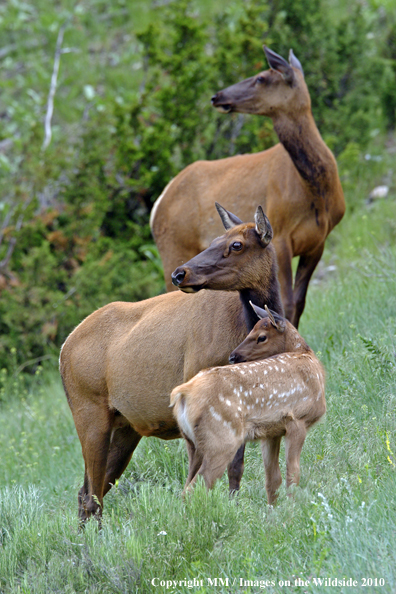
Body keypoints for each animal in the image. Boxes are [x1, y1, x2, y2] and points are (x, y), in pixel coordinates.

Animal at [58, 204, 284, 520]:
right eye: (215, 239)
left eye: (236, 244)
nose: (180, 273)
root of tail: (63, 350)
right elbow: (196, 479)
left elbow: (234, 469)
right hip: (89, 414)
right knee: (92, 496)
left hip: (124, 427)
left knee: (88, 491)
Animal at [150, 45, 344, 328]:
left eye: (261, 78)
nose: (217, 96)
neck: (317, 192)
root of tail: (156, 206)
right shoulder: (282, 236)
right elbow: (286, 303)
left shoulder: (318, 241)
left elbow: (299, 302)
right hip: (173, 248)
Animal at [170, 300, 324, 500]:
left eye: (261, 337)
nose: (233, 356)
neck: (307, 358)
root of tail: (183, 392)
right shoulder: (297, 419)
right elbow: (293, 475)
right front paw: (293, 507)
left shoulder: (271, 431)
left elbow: (273, 480)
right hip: (221, 440)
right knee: (194, 488)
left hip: (192, 443)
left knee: (186, 485)